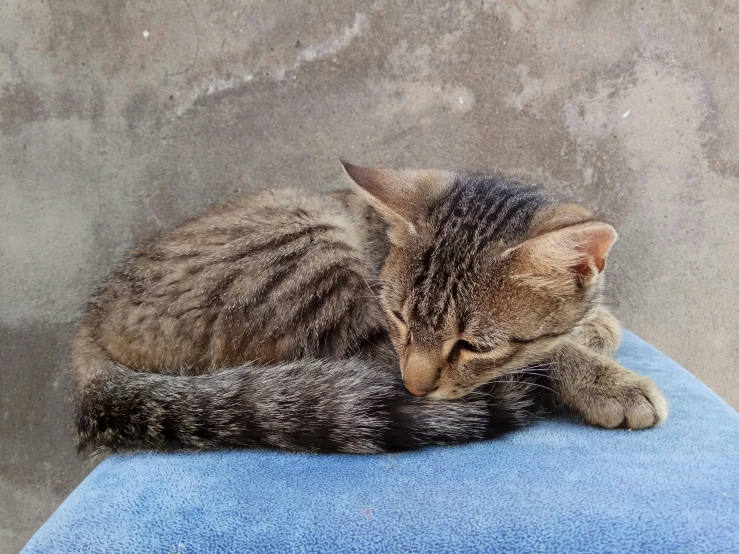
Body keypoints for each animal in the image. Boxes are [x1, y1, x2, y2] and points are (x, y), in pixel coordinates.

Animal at [71, 161, 672, 452]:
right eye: (400, 316)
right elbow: (544, 354)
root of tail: (90, 324)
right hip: (308, 252)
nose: (418, 386)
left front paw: (595, 325)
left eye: (471, 344)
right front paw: (607, 379)